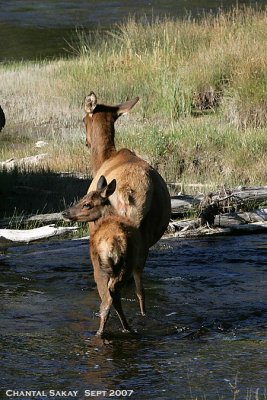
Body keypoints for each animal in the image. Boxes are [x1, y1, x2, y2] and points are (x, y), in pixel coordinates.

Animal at [62, 177, 147, 336]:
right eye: (82, 198)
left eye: (87, 204)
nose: (64, 213)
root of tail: (113, 243)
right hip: (125, 266)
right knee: (115, 294)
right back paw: (128, 328)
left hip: (100, 269)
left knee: (108, 298)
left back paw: (100, 332)